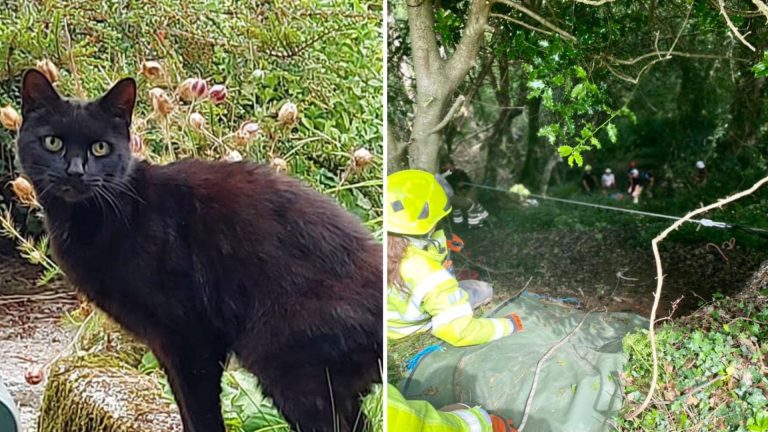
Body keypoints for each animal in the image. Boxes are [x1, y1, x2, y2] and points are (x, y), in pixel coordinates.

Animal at [15, 69, 380, 430]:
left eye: (100, 148)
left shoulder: (190, 338)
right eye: (53, 142)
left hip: (291, 368)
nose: (75, 171)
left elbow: (200, 414)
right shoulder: (166, 345)